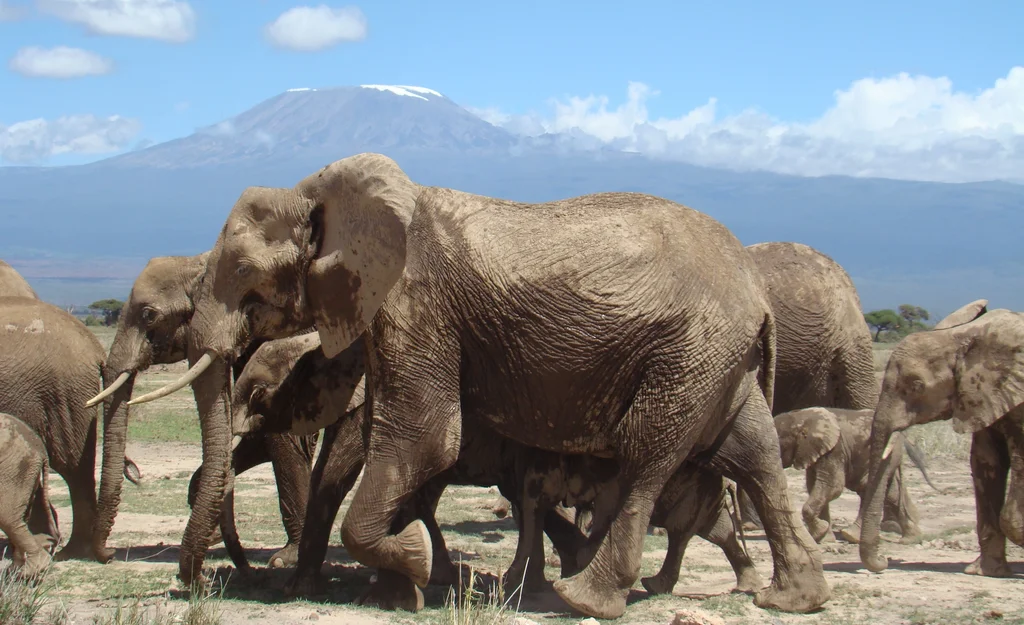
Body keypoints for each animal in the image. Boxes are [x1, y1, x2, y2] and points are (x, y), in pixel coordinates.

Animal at [0, 411, 59, 577]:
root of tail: (41, 449)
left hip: (15, 466)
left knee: (8, 518)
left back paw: (27, 571)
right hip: (25, 473)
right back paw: (15, 570)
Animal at [88, 251, 319, 565]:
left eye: (149, 315)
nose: (110, 554)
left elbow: (283, 437)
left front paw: (287, 557)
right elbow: (253, 437)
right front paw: (212, 534)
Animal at [134, 151, 823, 618]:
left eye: (244, 272)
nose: (199, 586)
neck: (323, 191)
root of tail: (758, 295)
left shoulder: (416, 302)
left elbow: (424, 437)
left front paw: (412, 563)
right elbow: (398, 438)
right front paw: (401, 588)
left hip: (690, 352)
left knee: (648, 454)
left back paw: (585, 597)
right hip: (721, 361)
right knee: (754, 454)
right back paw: (793, 599)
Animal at [774, 403, 937, 540]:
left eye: (778, 445)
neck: (802, 417)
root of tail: (902, 435)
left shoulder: (835, 449)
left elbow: (833, 486)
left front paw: (820, 533)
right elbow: (813, 485)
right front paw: (824, 538)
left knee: (869, 487)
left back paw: (851, 536)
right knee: (891, 492)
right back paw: (911, 538)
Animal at [856, 299, 1024, 577]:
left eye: (916, 385)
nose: (884, 560)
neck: (961, 338)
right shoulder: (982, 396)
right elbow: (985, 464)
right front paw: (984, 572)